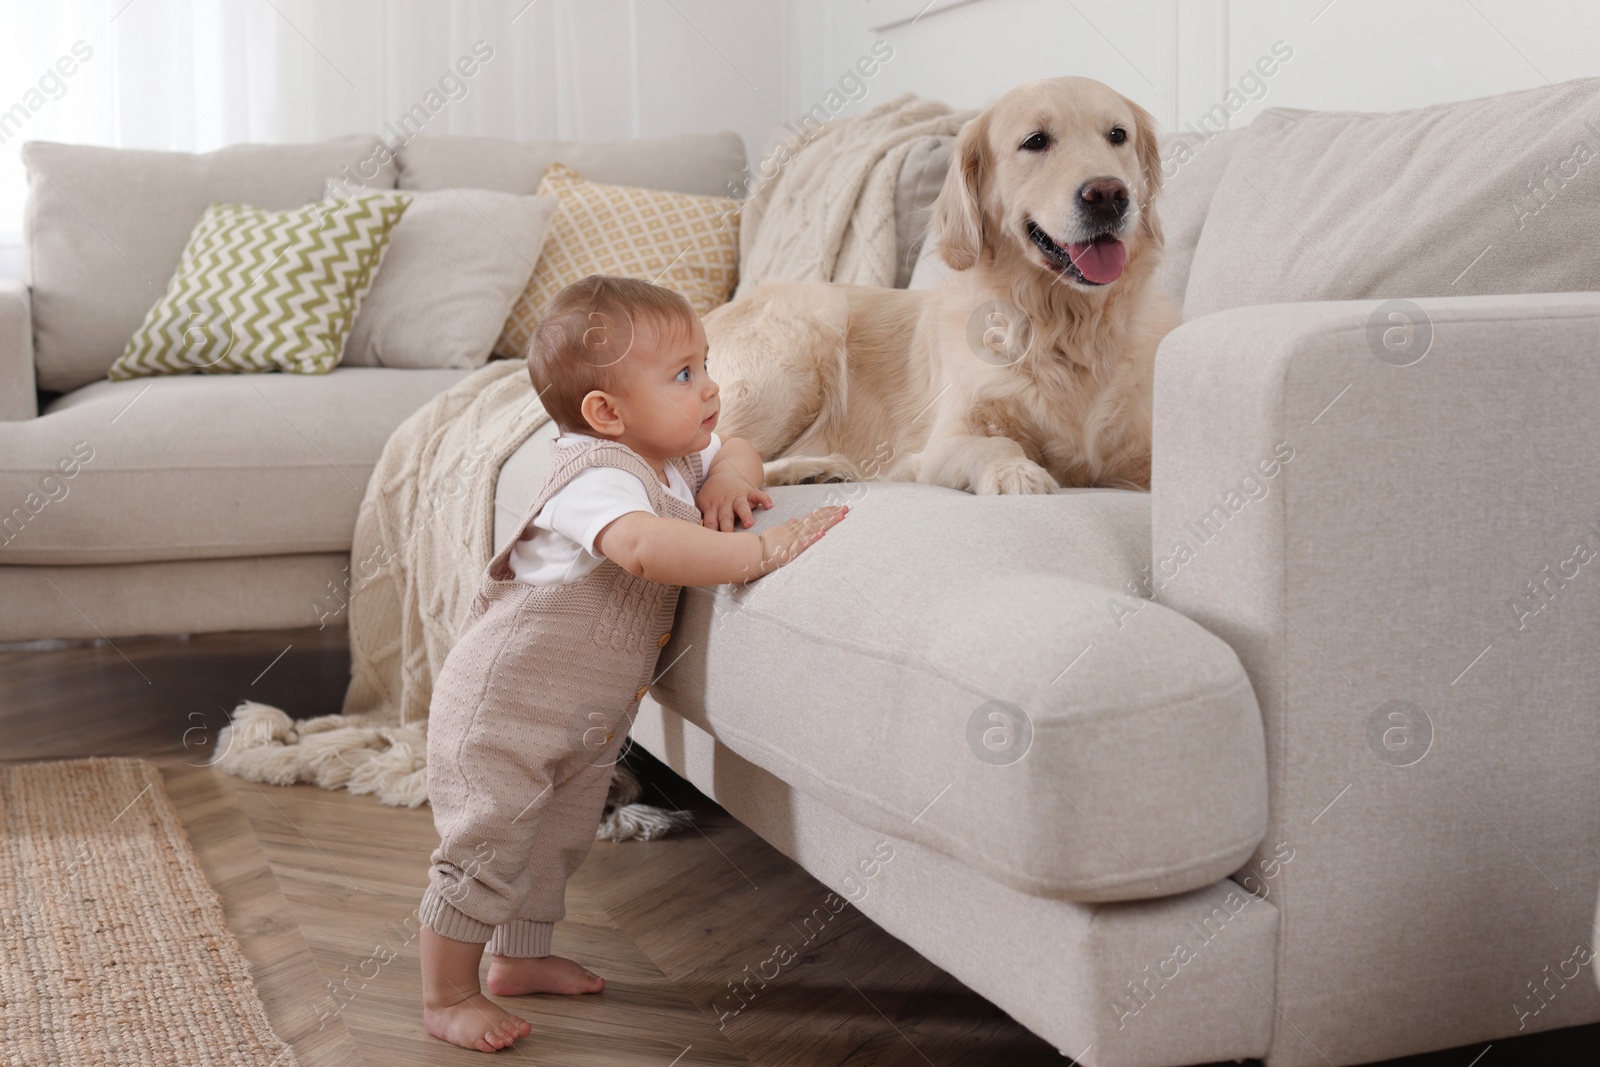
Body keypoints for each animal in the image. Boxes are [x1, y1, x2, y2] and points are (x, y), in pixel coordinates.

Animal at [707, 75, 1184, 495]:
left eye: (1117, 135)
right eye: (1036, 141)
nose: (1108, 195)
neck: (1068, 325)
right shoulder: (946, 440)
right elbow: (996, 443)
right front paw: (1016, 473)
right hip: (795, 357)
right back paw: (811, 469)